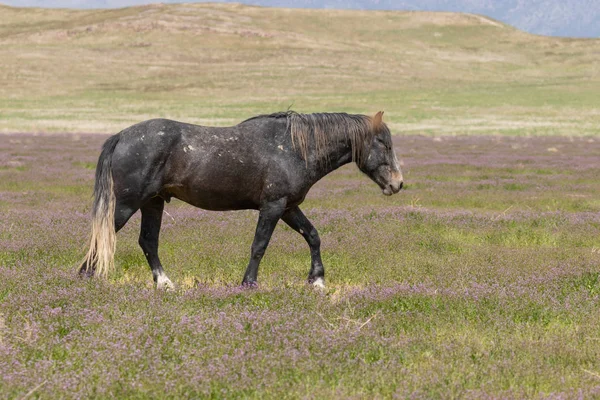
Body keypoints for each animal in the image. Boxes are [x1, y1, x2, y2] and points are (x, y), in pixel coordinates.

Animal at [79, 111, 404, 290]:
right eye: (384, 144)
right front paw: (248, 283)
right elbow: (259, 245)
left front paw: (317, 280)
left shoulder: (288, 206)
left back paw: (165, 283)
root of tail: (121, 136)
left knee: (148, 242)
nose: (398, 183)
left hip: (153, 202)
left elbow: (312, 235)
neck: (296, 147)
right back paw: (85, 278)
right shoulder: (273, 206)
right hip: (127, 205)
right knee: (102, 236)